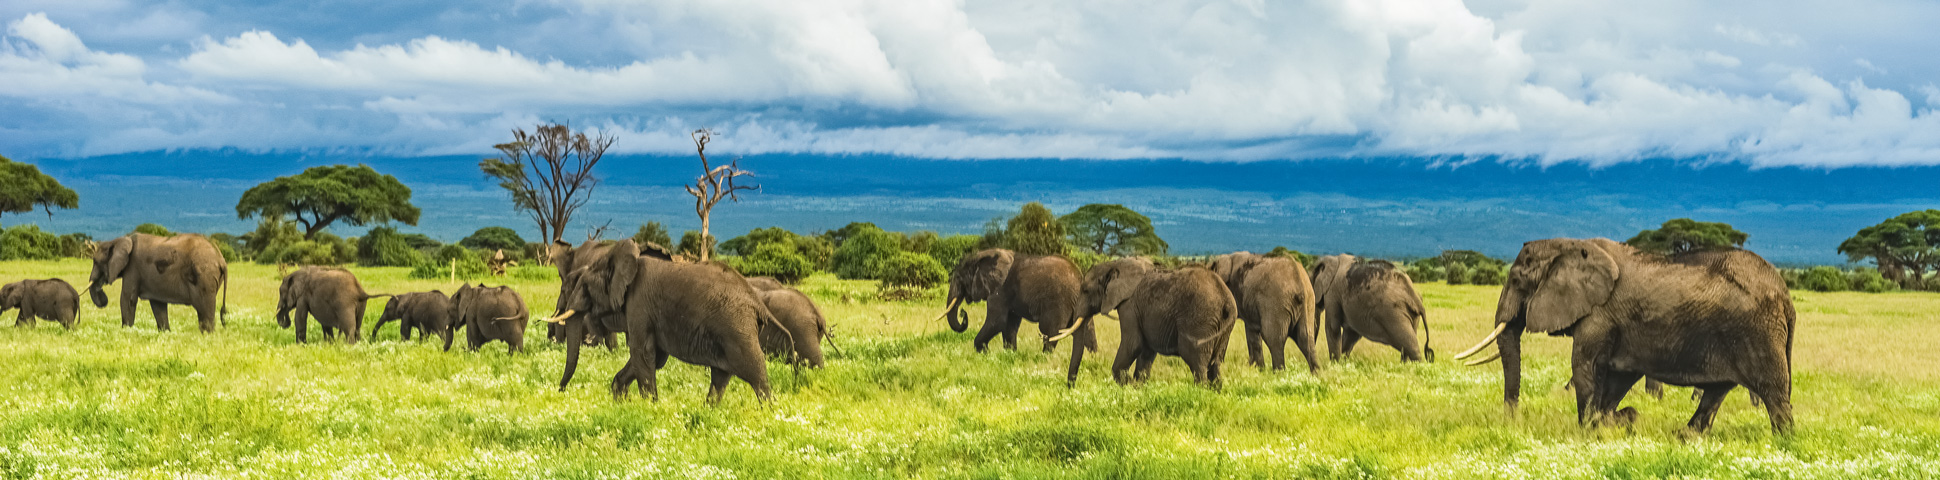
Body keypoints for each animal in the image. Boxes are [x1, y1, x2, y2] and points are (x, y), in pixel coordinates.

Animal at [86, 231, 228, 330]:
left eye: (96, 262)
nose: (101, 289)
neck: (119, 240)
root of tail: (221, 259)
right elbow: (158, 305)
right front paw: (165, 333)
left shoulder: (133, 268)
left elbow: (128, 299)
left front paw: (126, 332)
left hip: (204, 276)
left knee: (204, 309)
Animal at [543, 238, 783, 402]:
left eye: (583, 287)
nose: (561, 391)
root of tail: (757, 303)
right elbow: (653, 357)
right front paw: (621, 399)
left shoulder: (639, 303)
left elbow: (642, 353)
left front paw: (650, 407)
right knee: (720, 377)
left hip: (738, 329)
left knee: (757, 375)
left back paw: (769, 413)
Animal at [935, 248, 1094, 384]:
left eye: (958, 278)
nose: (963, 313)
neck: (982, 255)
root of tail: (1079, 278)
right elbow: (1009, 325)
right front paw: (1009, 354)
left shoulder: (1000, 290)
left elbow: (997, 321)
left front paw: (985, 353)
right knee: (1088, 333)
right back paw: (1093, 357)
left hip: (1058, 301)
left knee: (1050, 332)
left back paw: (1043, 359)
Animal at [1070, 256, 1233, 388]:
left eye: (1085, 290)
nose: (1071, 387)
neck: (1115, 263)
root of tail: (1226, 298)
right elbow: (1147, 351)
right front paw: (1140, 386)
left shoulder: (1130, 306)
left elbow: (1133, 344)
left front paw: (1130, 385)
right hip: (1222, 328)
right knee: (1215, 364)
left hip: (1199, 321)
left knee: (1196, 361)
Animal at [1451, 240, 1792, 435]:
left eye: (1517, 281)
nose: (1512, 423)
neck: (1567, 245)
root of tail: (1785, 292)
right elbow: (1618, 376)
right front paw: (1621, 420)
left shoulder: (1600, 314)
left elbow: (1585, 367)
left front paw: (1591, 432)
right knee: (1718, 390)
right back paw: (1684, 436)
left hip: (1756, 330)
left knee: (1773, 392)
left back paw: (1783, 442)